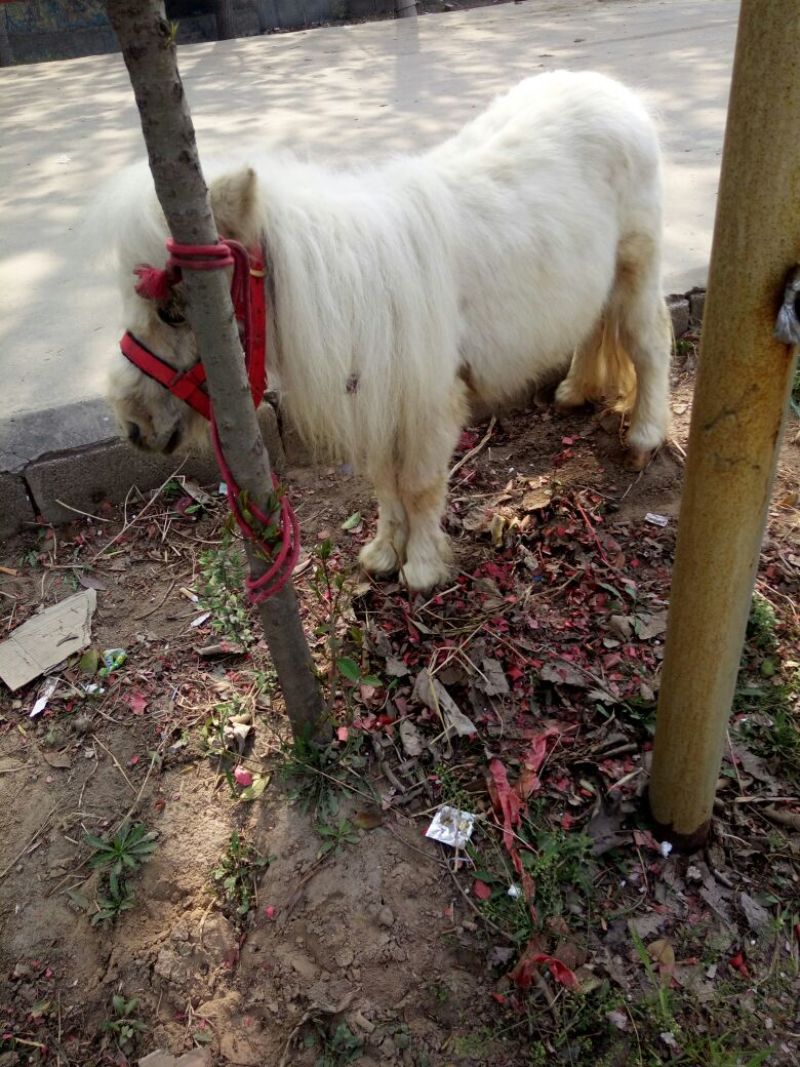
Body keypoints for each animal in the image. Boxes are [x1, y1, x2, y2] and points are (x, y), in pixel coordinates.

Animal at [103, 70, 671, 592]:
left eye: (174, 312)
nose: (134, 426)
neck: (354, 292)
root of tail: (613, 91)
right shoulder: (380, 400)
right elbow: (385, 484)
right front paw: (382, 555)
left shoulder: (428, 405)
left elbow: (418, 485)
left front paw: (420, 569)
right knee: (593, 324)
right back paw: (573, 392)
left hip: (637, 267)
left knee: (648, 342)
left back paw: (644, 439)